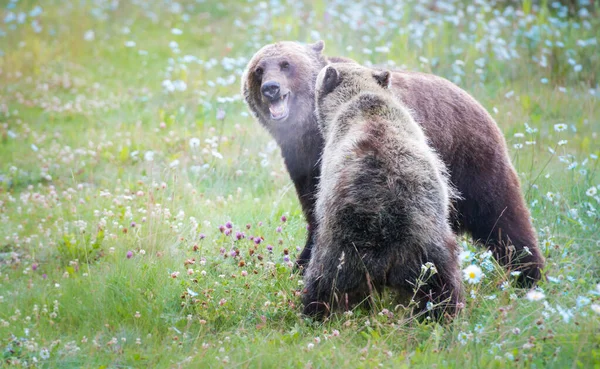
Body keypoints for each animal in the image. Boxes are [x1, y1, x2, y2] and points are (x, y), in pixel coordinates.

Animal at [241, 41, 548, 288]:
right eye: (259, 70)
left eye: (286, 64)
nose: (271, 88)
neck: (309, 128)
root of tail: (476, 102)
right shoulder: (302, 160)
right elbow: (315, 211)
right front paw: (300, 264)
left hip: (470, 161)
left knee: (502, 214)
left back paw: (528, 273)